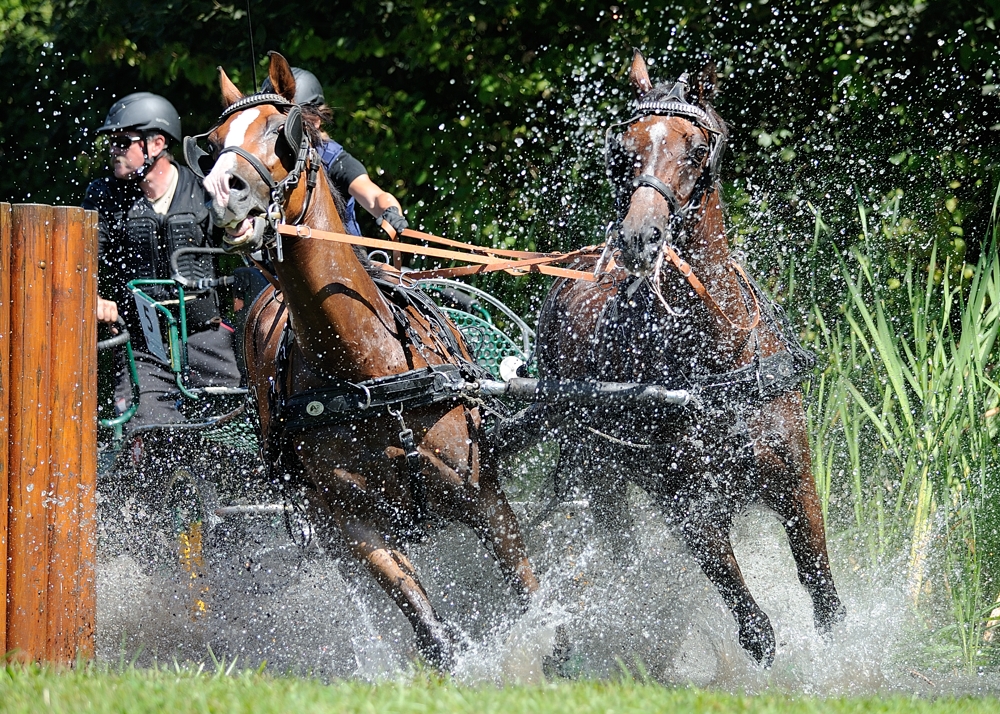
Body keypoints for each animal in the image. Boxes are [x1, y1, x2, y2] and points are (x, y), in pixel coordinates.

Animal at [196, 51, 540, 668]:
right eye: (211, 143)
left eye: (282, 132)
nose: (219, 192)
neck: (367, 372)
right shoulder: (351, 526)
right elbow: (431, 630)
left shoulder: (484, 496)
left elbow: (531, 595)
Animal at [512, 52, 840, 664]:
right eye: (622, 151)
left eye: (694, 148)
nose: (638, 238)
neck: (715, 362)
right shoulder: (688, 509)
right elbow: (755, 628)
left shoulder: (796, 479)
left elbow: (823, 593)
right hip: (600, 475)